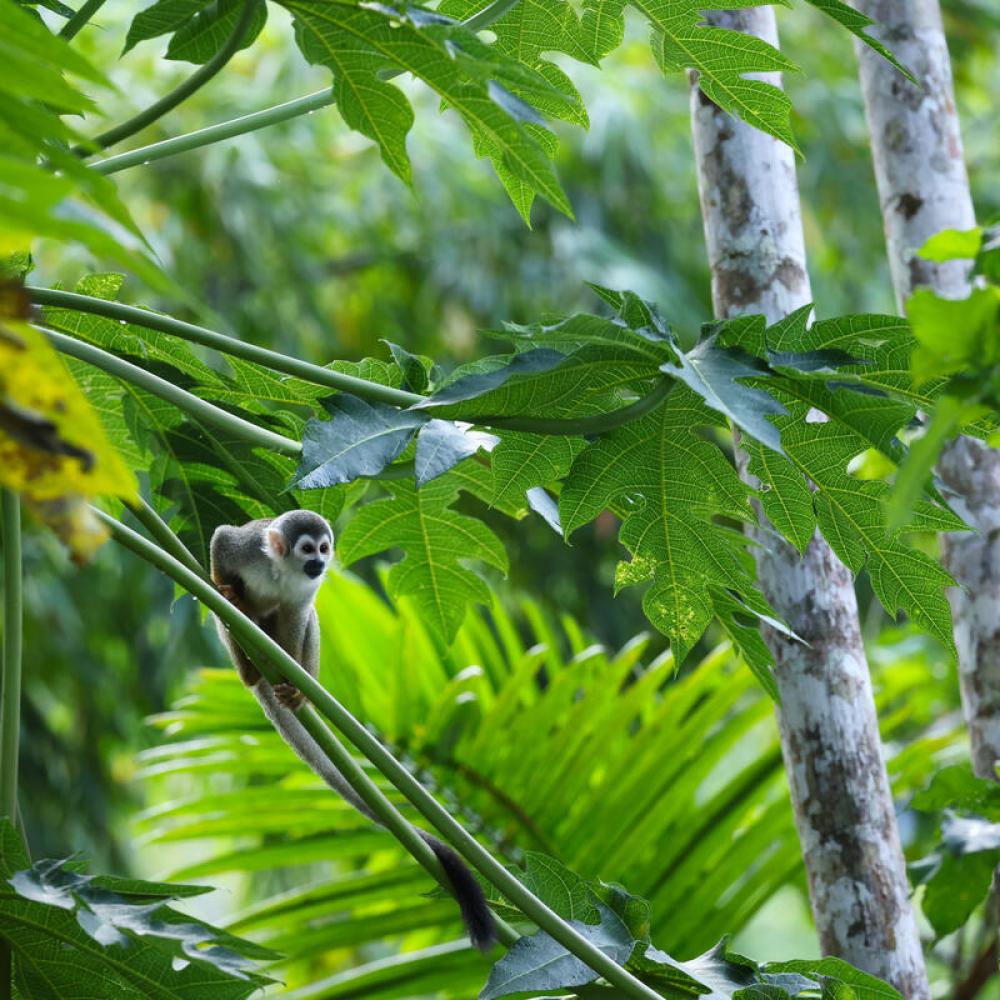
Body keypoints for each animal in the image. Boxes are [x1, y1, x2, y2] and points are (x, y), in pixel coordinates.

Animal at [209, 510, 496, 951]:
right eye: (307, 549)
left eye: (324, 549)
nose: (319, 563)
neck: (282, 570)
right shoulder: (246, 548)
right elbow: (221, 540)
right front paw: (218, 584)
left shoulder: (304, 590)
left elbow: (299, 615)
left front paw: (293, 680)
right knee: (234, 620)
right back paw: (248, 666)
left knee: (306, 621)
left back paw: (288, 685)